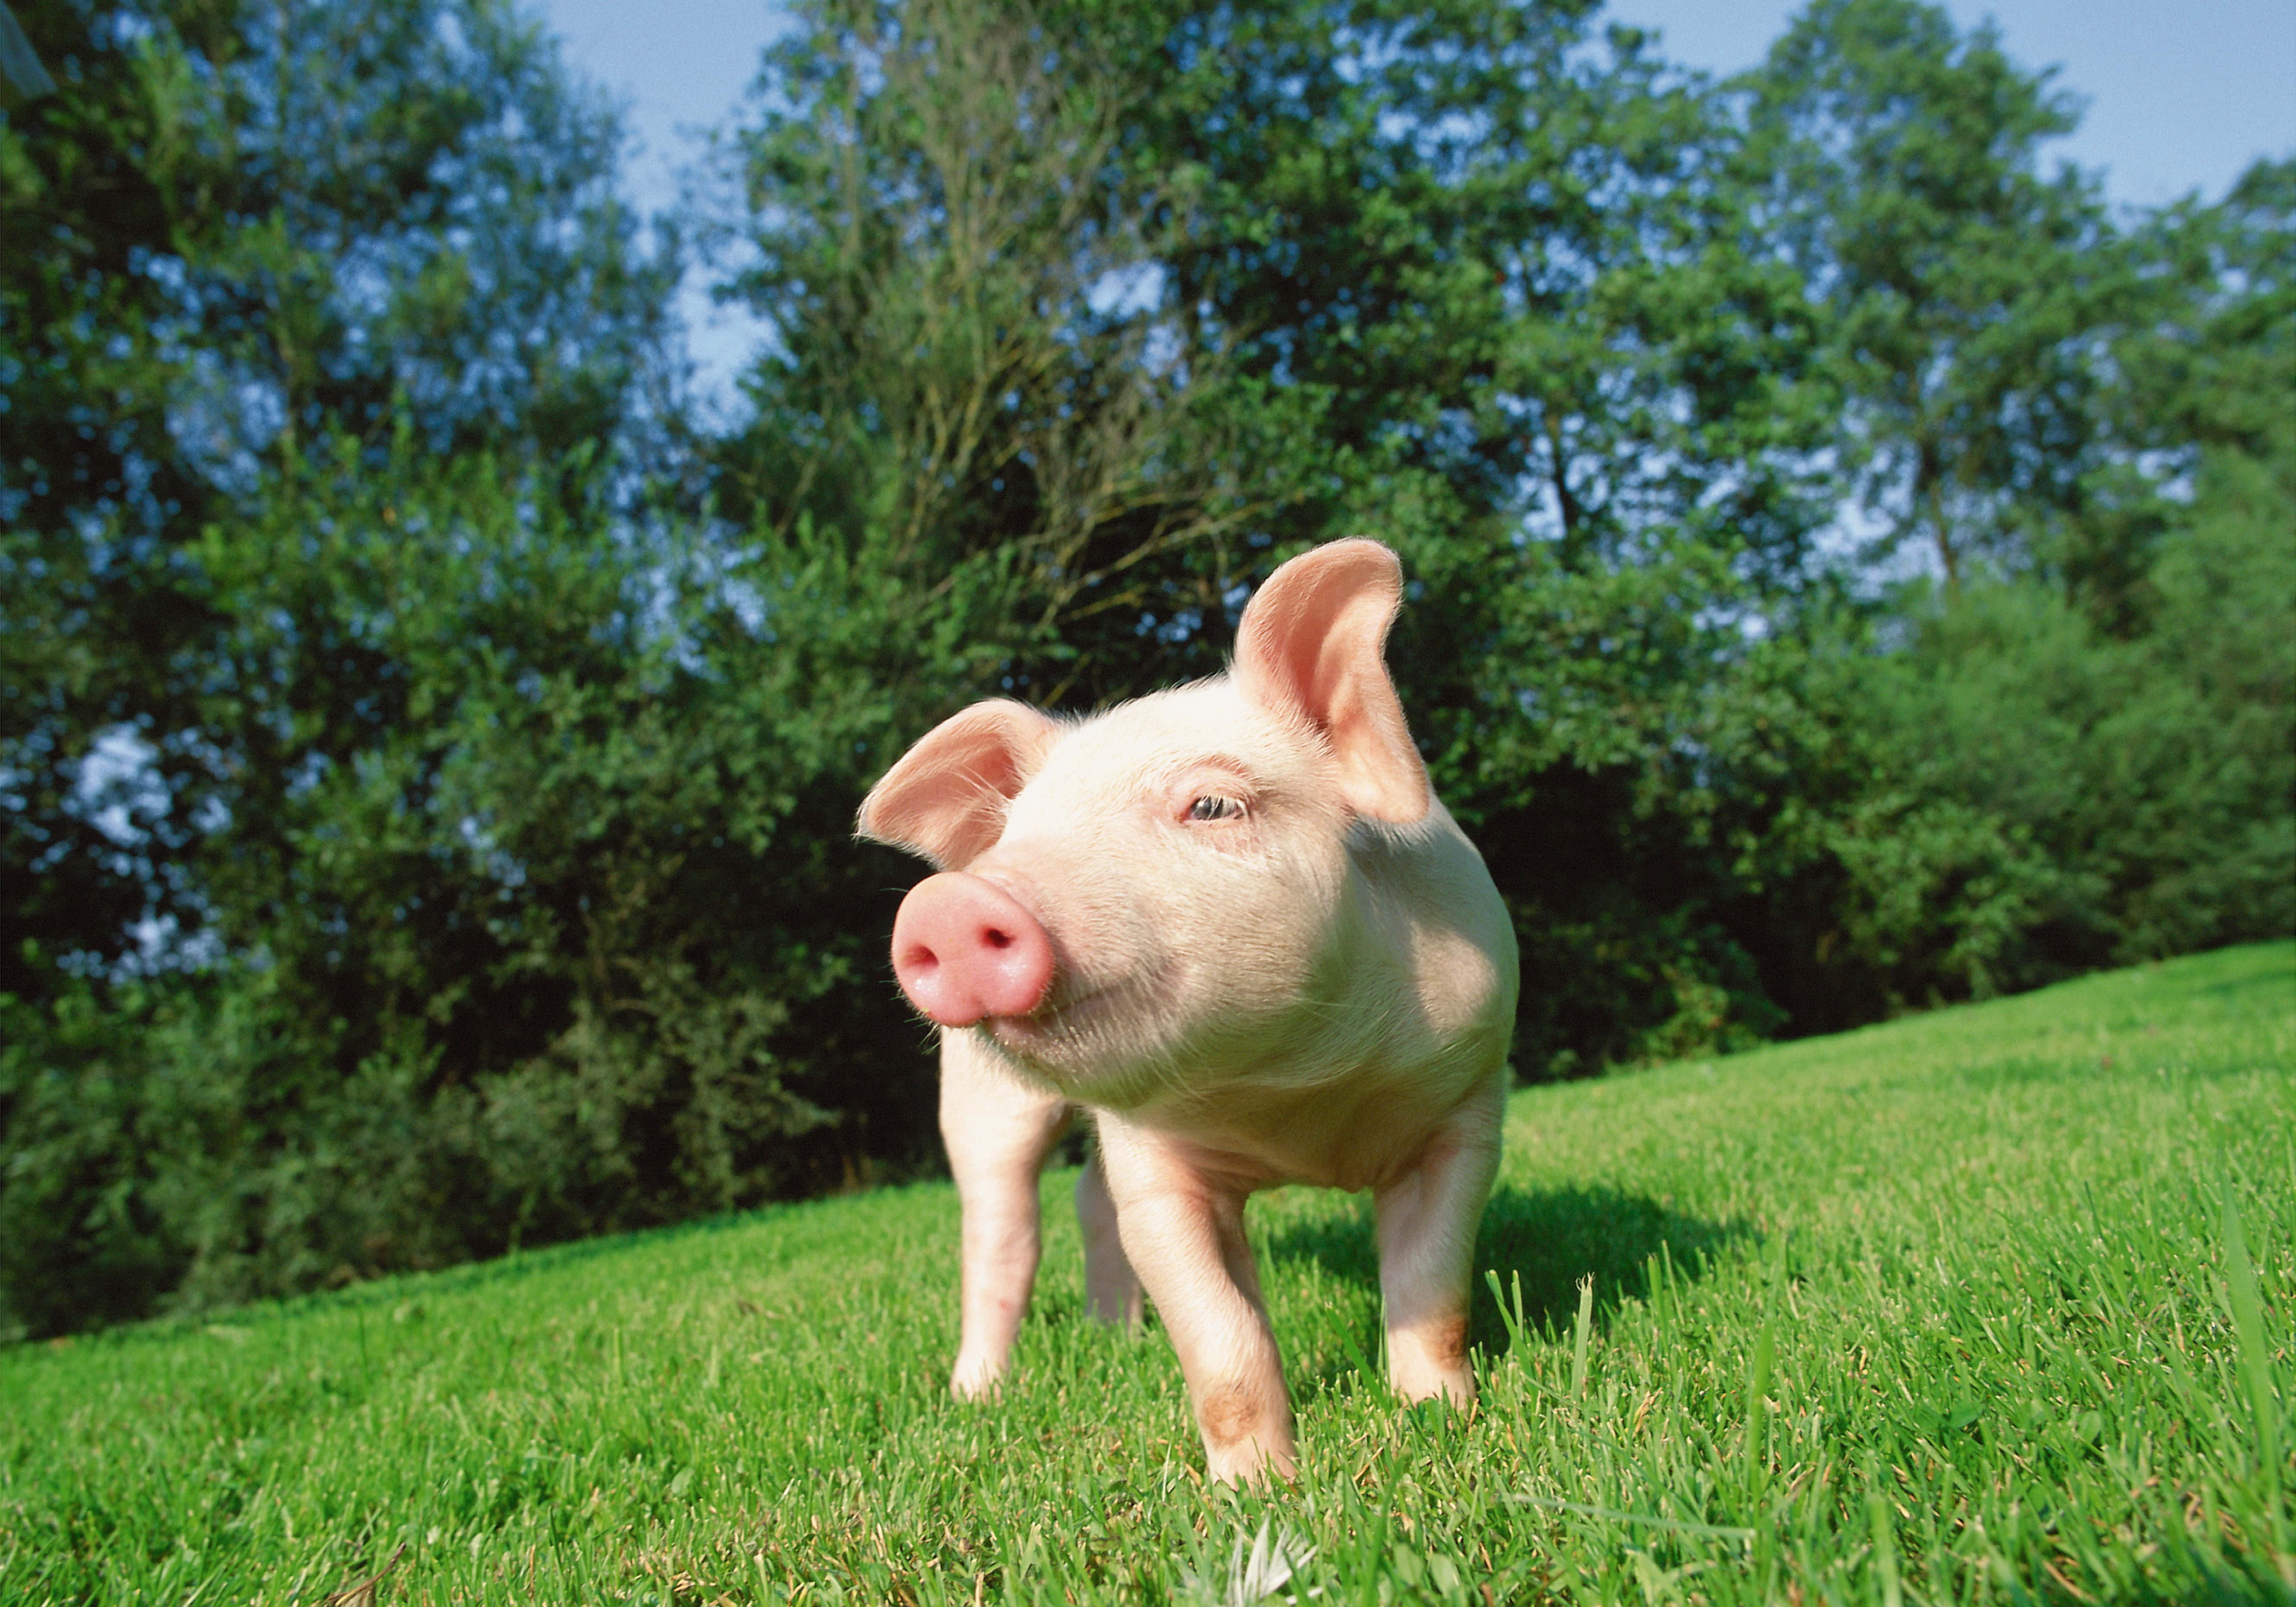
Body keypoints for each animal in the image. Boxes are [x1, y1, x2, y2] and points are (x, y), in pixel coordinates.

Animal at [856, 538, 1518, 1482]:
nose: (946, 906)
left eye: (1210, 805)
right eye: (1018, 832)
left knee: (1083, 1199)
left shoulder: (1467, 1105)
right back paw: (977, 1395)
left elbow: (1434, 1296)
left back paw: (1117, 1338)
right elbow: (1222, 1345)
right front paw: (1258, 1492)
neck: (1295, 1095)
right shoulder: (1158, 1172)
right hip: (978, 1100)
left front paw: (1439, 1422)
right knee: (999, 1234)